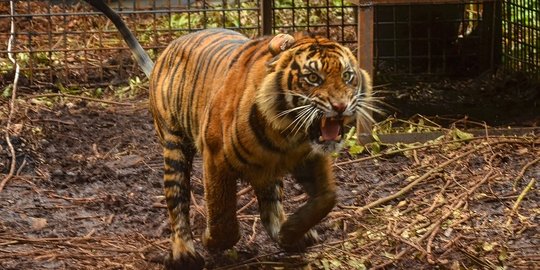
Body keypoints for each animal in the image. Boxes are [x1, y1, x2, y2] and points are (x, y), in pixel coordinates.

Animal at [86, 1, 378, 268]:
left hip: (265, 171)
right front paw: (211, 240)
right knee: (177, 200)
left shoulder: (310, 157)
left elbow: (327, 198)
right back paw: (184, 253)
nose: (340, 106)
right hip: (174, 148)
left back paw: (287, 232)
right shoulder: (216, 159)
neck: (288, 134)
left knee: (270, 200)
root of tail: (164, 53)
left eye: (348, 76)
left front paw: (291, 231)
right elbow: (222, 214)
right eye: (313, 78)